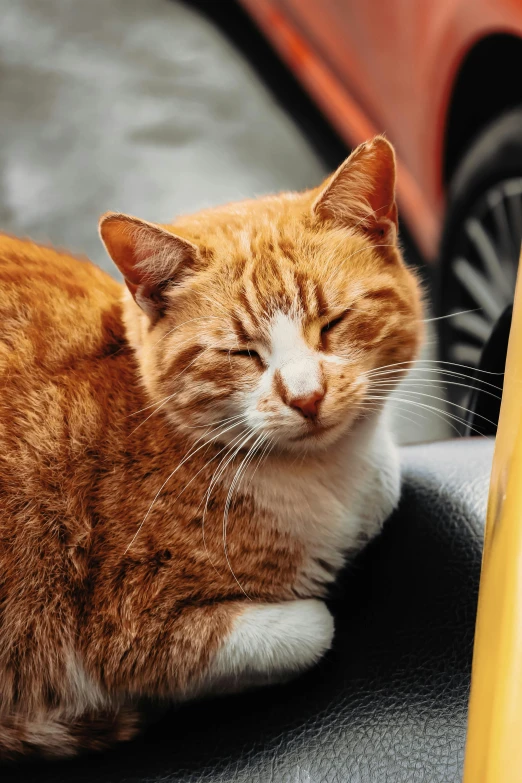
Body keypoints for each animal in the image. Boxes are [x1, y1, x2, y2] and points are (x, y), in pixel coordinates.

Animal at [0, 138, 418, 756]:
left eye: (333, 322)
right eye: (242, 352)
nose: (307, 396)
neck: (327, 476)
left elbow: (387, 482)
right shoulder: (129, 630)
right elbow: (314, 628)